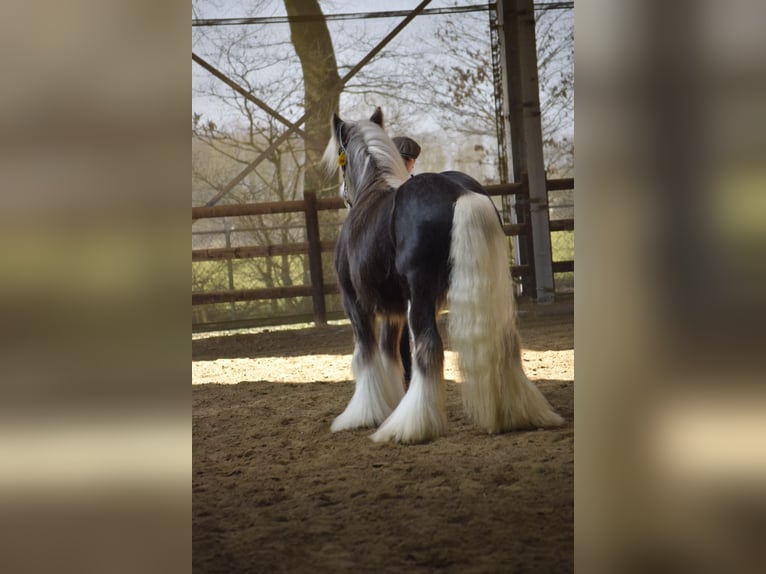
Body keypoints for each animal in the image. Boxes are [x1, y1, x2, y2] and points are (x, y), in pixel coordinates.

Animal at [322, 107, 563, 444]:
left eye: (340, 158)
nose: (343, 195)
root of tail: (458, 192)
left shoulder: (355, 303)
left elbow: (366, 356)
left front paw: (363, 415)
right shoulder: (394, 310)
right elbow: (390, 354)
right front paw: (387, 405)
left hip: (420, 294)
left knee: (428, 348)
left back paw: (411, 426)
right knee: (505, 346)